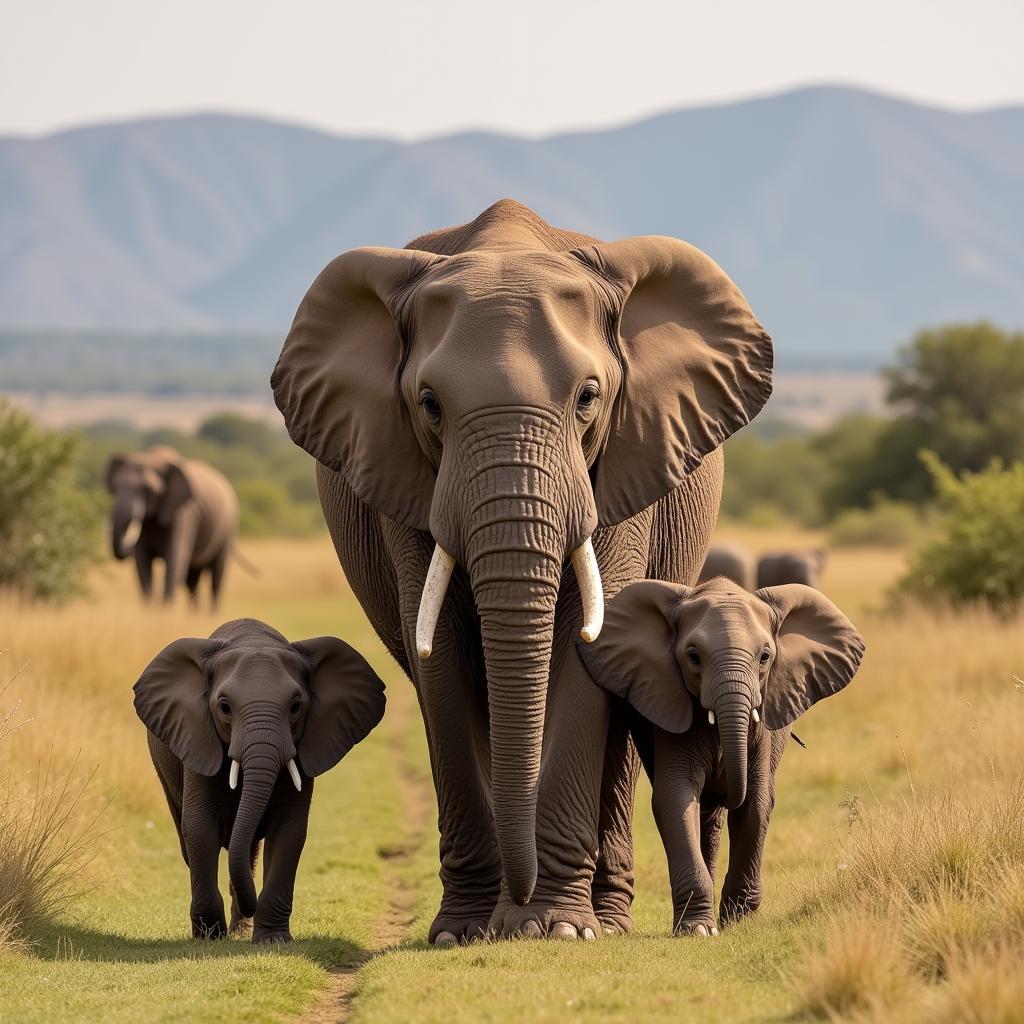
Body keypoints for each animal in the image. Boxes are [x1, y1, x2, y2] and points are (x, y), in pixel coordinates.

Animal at [105, 444, 239, 602]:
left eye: (148, 490)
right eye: (116, 486)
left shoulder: (185, 512)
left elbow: (175, 558)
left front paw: (165, 607)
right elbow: (142, 563)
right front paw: (149, 606)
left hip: (229, 528)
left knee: (216, 576)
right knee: (192, 580)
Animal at [134, 614, 385, 942]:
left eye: (296, 706)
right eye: (224, 707)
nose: (250, 904)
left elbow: (290, 831)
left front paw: (273, 940)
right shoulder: (197, 738)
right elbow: (199, 828)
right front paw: (209, 937)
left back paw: (241, 931)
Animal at [268, 199, 770, 942]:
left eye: (588, 396)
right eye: (429, 404)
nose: (522, 903)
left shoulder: (624, 460)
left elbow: (591, 641)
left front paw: (557, 929)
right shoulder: (402, 472)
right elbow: (440, 651)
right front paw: (464, 932)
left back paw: (607, 920)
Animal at [577, 581, 864, 933]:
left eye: (765, 657)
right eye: (693, 657)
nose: (727, 786)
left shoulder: (762, 727)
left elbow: (757, 802)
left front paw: (739, 922)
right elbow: (676, 797)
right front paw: (699, 929)